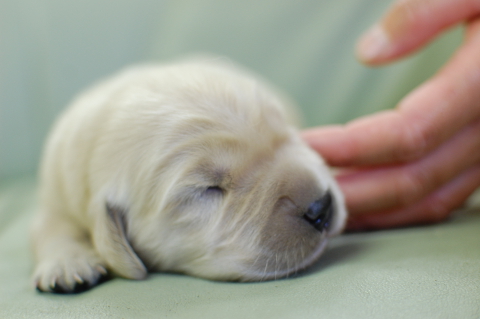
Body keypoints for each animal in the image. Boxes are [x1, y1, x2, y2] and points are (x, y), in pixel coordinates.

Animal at [31, 58, 346, 296]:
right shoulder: (55, 192)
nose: (321, 208)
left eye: (286, 133)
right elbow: (53, 226)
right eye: (208, 189)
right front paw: (67, 264)